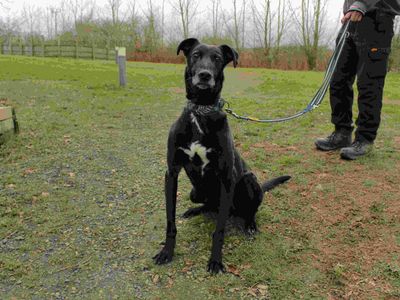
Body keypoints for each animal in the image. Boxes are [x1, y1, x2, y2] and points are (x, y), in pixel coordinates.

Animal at [153, 38, 290, 274]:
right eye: (196, 55)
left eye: (217, 59)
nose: (205, 75)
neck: (201, 110)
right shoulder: (171, 173)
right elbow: (170, 221)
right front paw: (167, 252)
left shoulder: (227, 178)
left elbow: (219, 230)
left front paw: (216, 260)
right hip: (195, 192)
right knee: (209, 205)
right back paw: (195, 210)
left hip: (248, 181)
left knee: (248, 210)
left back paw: (250, 225)